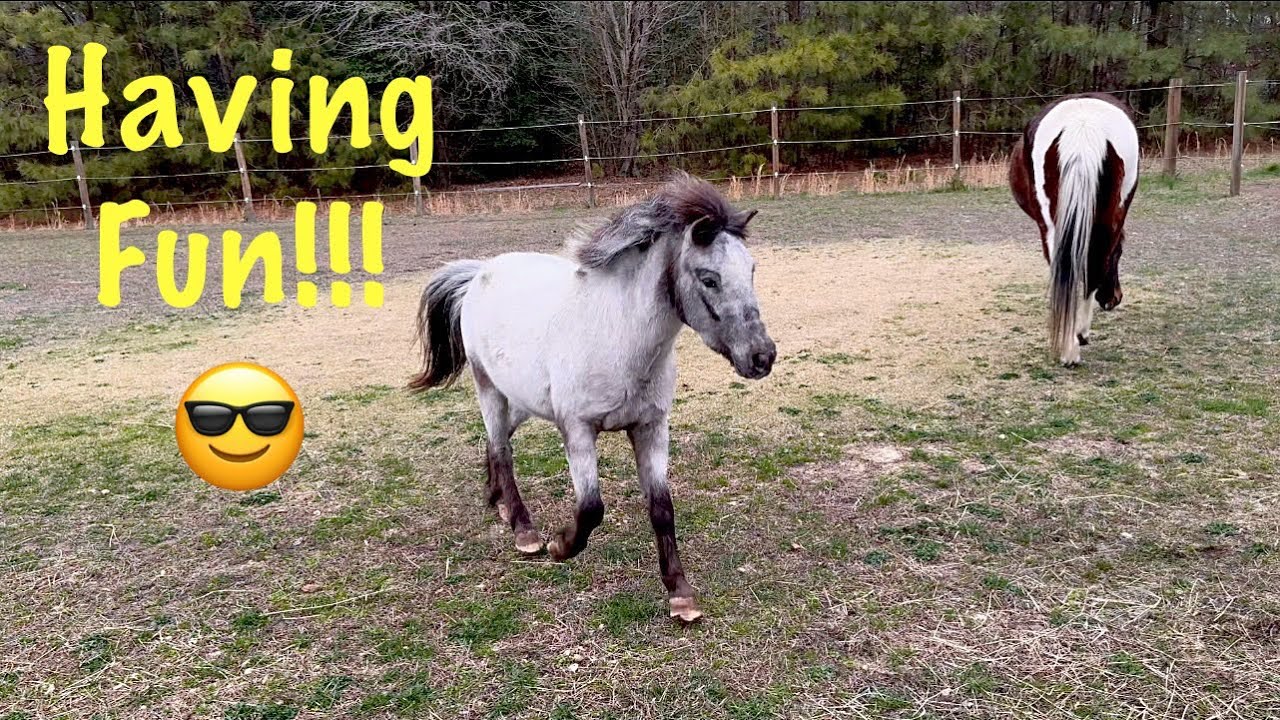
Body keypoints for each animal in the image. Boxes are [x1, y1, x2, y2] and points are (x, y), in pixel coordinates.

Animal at [408, 175, 776, 622]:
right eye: (709, 279)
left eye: (752, 270)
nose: (762, 357)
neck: (618, 337)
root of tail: (481, 271)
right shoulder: (578, 430)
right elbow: (591, 507)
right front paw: (559, 546)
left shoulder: (651, 428)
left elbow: (662, 507)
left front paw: (681, 593)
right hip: (489, 388)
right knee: (501, 448)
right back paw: (524, 530)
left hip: (523, 400)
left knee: (499, 442)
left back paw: (497, 502)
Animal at [1009, 92, 1139, 365]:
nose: (1114, 299)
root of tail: (1083, 126)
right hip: (1108, 220)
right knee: (1091, 267)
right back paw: (1077, 337)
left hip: (1052, 226)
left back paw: (1070, 345)